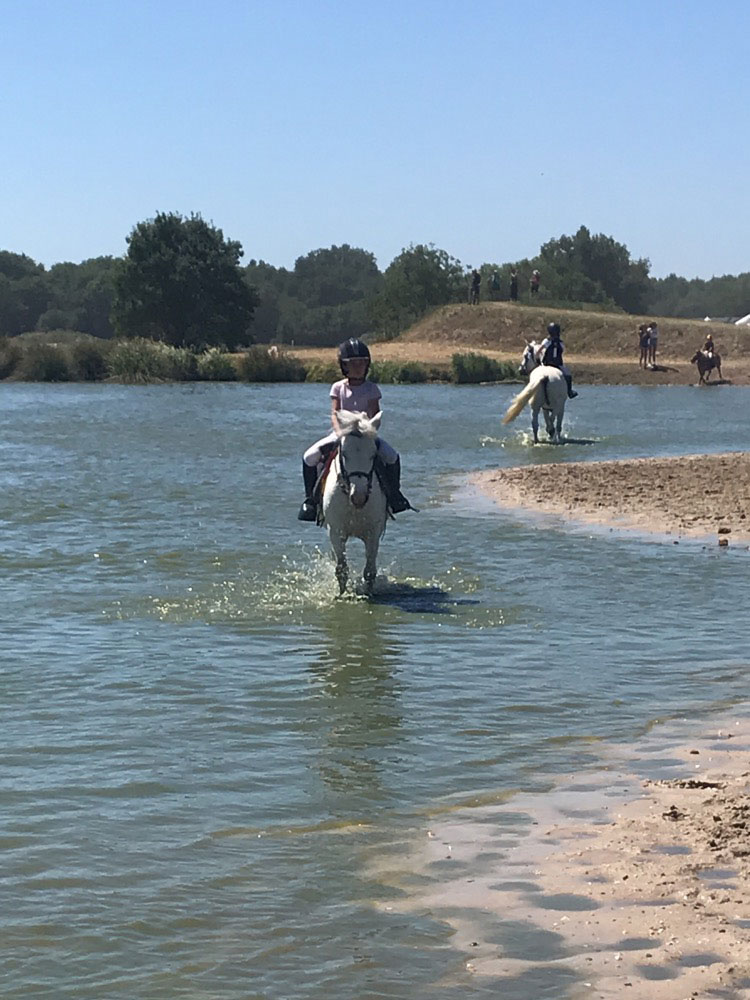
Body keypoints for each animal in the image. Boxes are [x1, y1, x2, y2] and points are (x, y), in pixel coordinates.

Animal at [320, 412, 388, 596]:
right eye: (344, 454)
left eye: (373, 454)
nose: (359, 496)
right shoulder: (336, 532)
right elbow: (341, 569)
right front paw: (342, 595)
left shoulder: (373, 533)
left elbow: (370, 571)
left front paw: (369, 594)